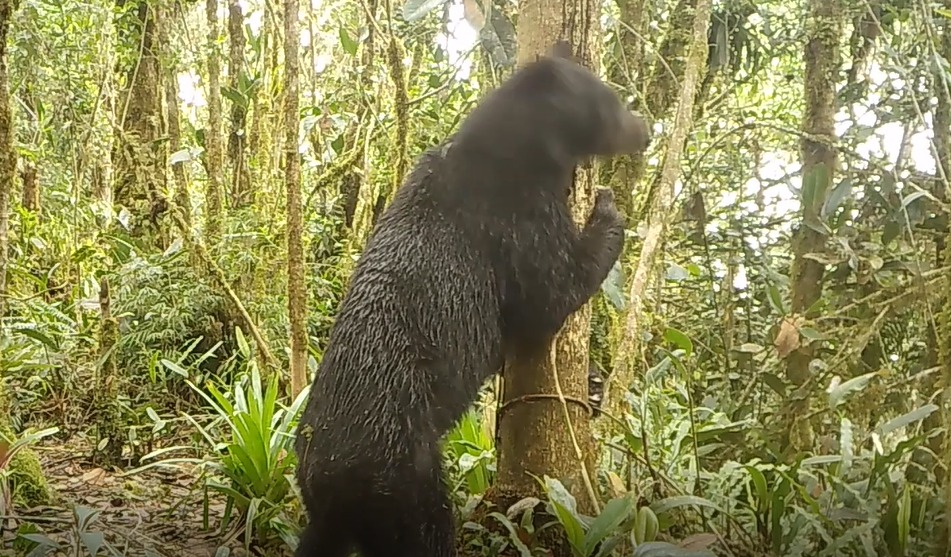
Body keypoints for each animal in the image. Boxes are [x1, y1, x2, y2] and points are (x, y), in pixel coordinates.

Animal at [294, 41, 652, 556]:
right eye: (613, 103)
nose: (645, 131)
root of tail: (320, 477)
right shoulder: (516, 214)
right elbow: (549, 295)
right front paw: (607, 210)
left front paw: (593, 387)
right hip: (400, 474)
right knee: (426, 532)